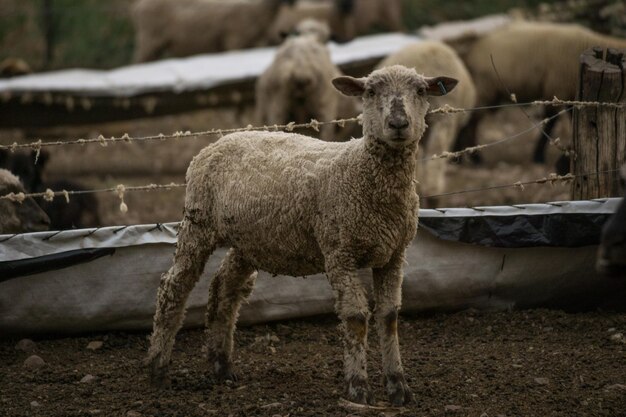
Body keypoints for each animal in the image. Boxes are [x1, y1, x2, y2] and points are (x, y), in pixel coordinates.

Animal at [146, 65, 458, 404]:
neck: (360, 171)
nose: (398, 124)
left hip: (250, 241)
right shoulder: (339, 252)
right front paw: (357, 387)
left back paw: (222, 366)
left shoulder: (394, 254)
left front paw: (398, 385)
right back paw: (157, 367)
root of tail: (221, 140)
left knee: (225, 288)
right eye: (371, 91)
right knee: (174, 287)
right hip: (198, 222)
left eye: (421, 91)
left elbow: (389, 317)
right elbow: (356, 318)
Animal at [454, 20, 624, 171]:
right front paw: (539, 156)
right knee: (469, 120)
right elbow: (550, 123)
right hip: (484, 88)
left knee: (471, 119)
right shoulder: (557, 88)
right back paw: (467, 157)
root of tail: (472, 50)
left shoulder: (570, 94)